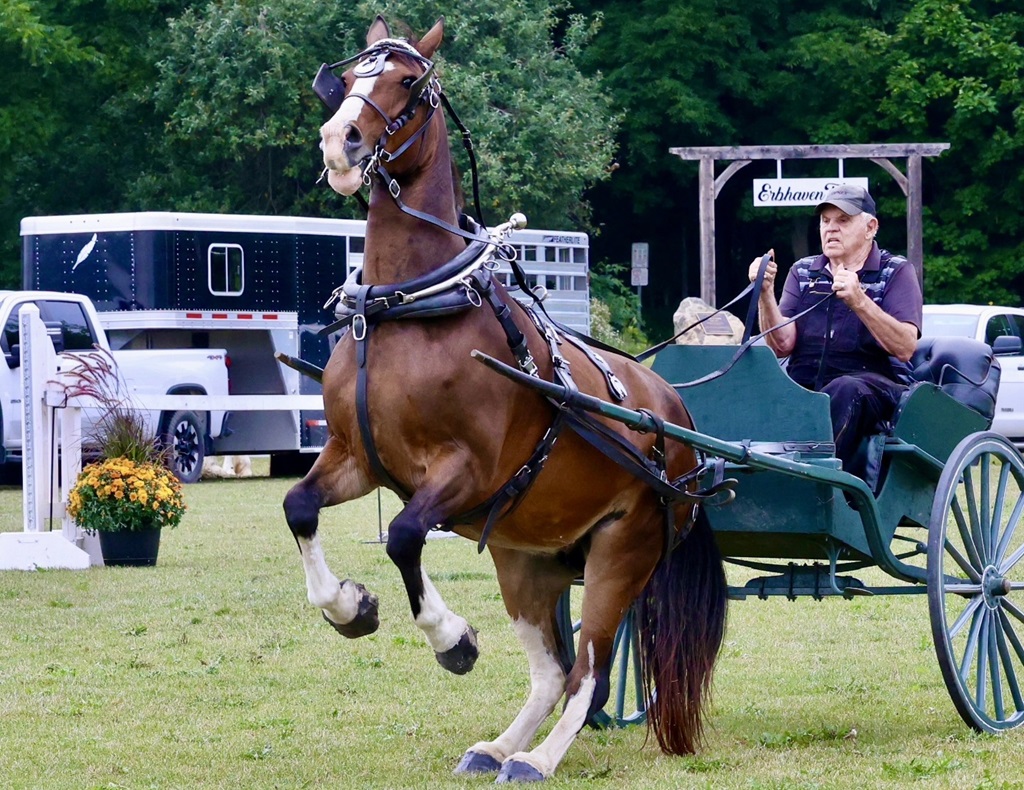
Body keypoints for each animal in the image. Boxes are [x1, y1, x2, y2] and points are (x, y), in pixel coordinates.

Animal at [282, 15, 728, 782]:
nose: (342, 142)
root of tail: (675, 415)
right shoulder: (355, 457)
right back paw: (498, 747)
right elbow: (299, 507)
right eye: (346, 81)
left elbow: (404, 536)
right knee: (551, 668)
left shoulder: (467, 471)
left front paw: (451, 638)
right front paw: (351, 607)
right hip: (527, 556)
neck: (412, 309)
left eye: (408, 82)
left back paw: (539, 758)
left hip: (622, 552)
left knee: (590, 670)